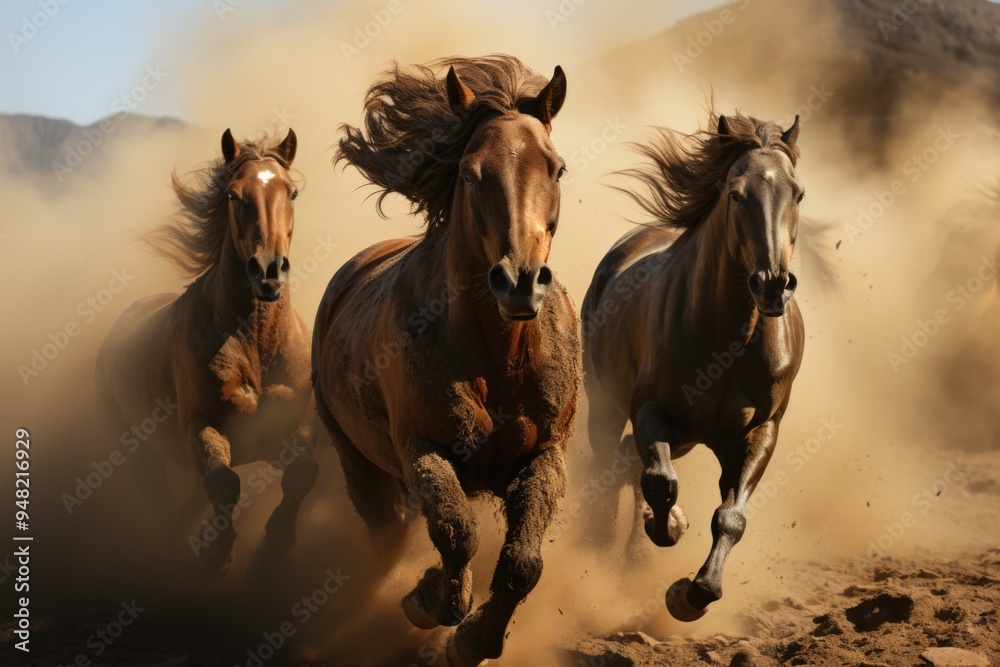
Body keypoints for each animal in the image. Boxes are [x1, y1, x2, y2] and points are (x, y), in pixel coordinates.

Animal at [96, 128, 319, 574]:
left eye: (293, 192)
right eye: (234, 195)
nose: (268, 271)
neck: (254, 344)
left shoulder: (286, 429)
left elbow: (303, 470)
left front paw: (276, 543)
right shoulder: (201, 426)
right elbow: (223, 482)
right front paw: (216, 552)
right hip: (135, 446)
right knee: (162, 503)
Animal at [312, 56, 580, 665]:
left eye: (556, 169)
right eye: (470, 173)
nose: (520, 281)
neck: (499, 358)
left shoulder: (547, 454)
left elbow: (522, 564)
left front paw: (474, 640)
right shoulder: (425, 450)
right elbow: (458, 534)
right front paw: (429, 600)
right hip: (359, 462)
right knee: (387, 534)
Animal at [581, 109, 806, 622]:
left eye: (798, 193)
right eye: (735, 193)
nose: (773, 284)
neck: (729, 342)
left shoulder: (760, 431)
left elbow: (732, 516)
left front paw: (693, 594)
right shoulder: (652, 411)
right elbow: (660, 482)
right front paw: (667, 529)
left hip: (688, 436)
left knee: (624, 461)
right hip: (605, 406)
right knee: (611, 463)